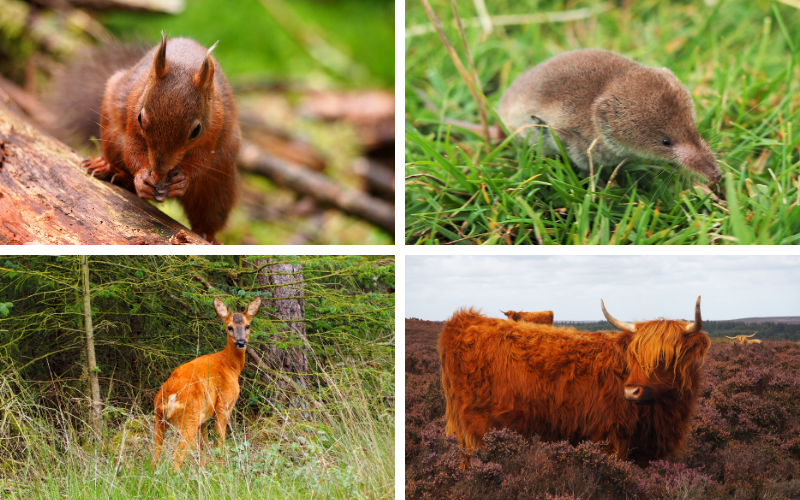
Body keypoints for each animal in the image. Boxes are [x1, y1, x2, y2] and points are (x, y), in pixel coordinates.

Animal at [46, 34, 240, 243]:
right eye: (141, 118)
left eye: (196, 130)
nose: (159, 170)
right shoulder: (132, 110)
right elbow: (133, 152)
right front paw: (141, 177)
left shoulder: (214, 128)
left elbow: (200, 162)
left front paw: (183, 179)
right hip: (113, 138)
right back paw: (110, 170)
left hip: (218, 181)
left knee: (209, 212)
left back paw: (208, 236)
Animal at [153, 297, 261, 470]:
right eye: (229, 327)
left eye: (247, 326)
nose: (241, 342)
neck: (230, 366)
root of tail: (170, 396)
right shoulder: (223, 405)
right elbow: (220, 442)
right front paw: (223, 469)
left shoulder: (204, 417)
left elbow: (203, 445)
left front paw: (203, 470)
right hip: (189, 418)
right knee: (175, 460)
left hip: (159, 418)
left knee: (154, 459)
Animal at [439, 297, 710, 466]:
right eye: (634, 357)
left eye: (667, 357)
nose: (632, 391)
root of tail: (464, 321)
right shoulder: (608, 439)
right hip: (477, 432)